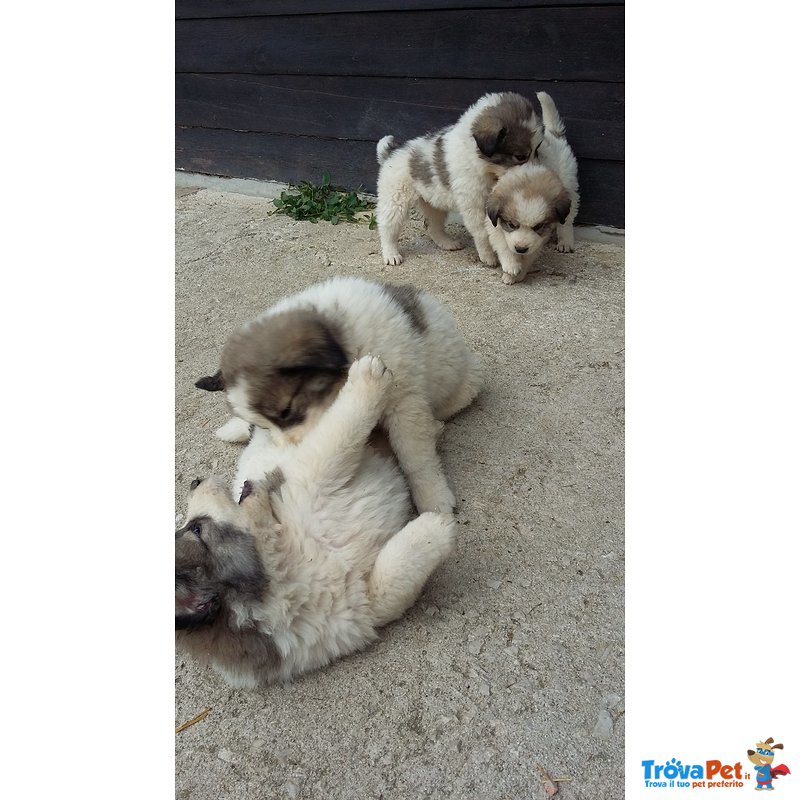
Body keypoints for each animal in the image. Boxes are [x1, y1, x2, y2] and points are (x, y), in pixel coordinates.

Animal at [177, 356, 456, 688]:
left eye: (193, 528)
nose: (194, 481)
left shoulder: (313, 470)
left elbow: (341, 430)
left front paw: (367, 377)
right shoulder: (361, 606)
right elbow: (392, 582)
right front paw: (435, 527)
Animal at [195, 276, 482, 512]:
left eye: (287, 412)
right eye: (266, 423)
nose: (296, 454)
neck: (347, 342)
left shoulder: (405, 402)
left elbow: (415, 458)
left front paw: (433, 496)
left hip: (462, 389)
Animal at [376, 90, 544, 266]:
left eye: (537, 151)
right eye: (520, 157)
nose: (536, 174)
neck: (484, 167)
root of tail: (391, 153)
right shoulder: (473, 202)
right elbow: (482, 232)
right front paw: (488, 256)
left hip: (434, 203)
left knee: (432, 225)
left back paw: (447, 243)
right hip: (396, 199)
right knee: (387, 226)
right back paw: (391, 254)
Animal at [482, 92, 580, 286]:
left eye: (538, 226)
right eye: (512, 224)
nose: (520, 248)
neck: (528, 180)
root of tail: (552, 135)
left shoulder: (541, 236)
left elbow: (530, 253)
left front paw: (519, 273)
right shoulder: (494, 222)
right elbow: (503, 244)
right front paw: (511, 267)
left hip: (569, 184)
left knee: (568, 219)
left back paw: (565, 241)